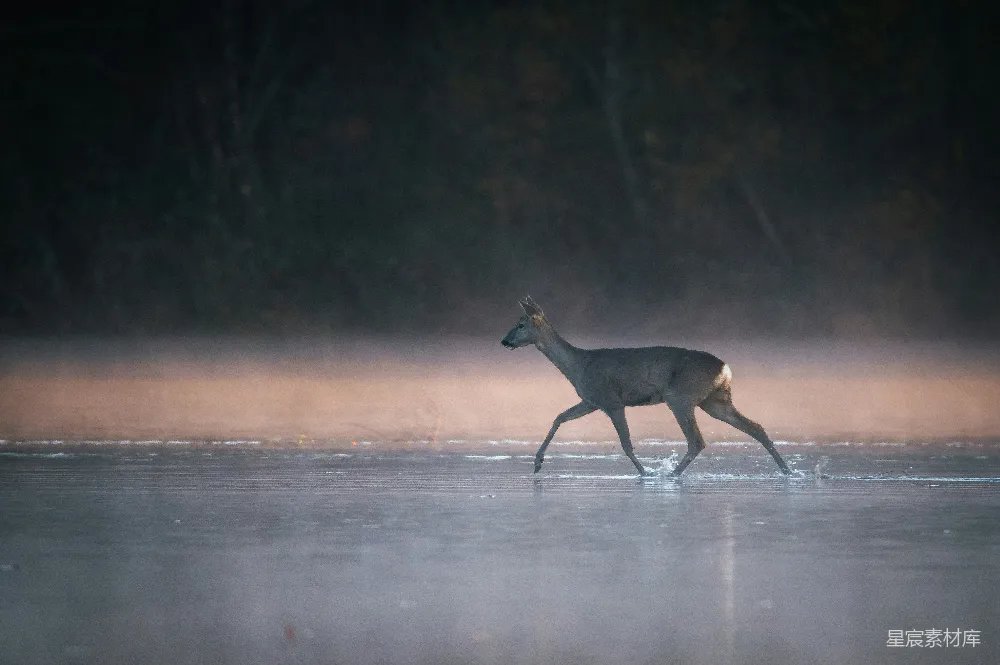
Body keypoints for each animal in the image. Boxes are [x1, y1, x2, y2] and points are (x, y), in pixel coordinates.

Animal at [501, 296, 792, 477]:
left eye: (520, 324)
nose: (504, 341)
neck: (579, 366)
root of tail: (725, 368)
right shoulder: (591, 400)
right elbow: (559, 417)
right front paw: (537, 463)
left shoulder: (611, 401)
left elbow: (627, 444)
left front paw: (645, 473)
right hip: (715, 400)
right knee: (755, 427)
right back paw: (787, 470)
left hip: (680, 396)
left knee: (697, 440)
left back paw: (671, 475)